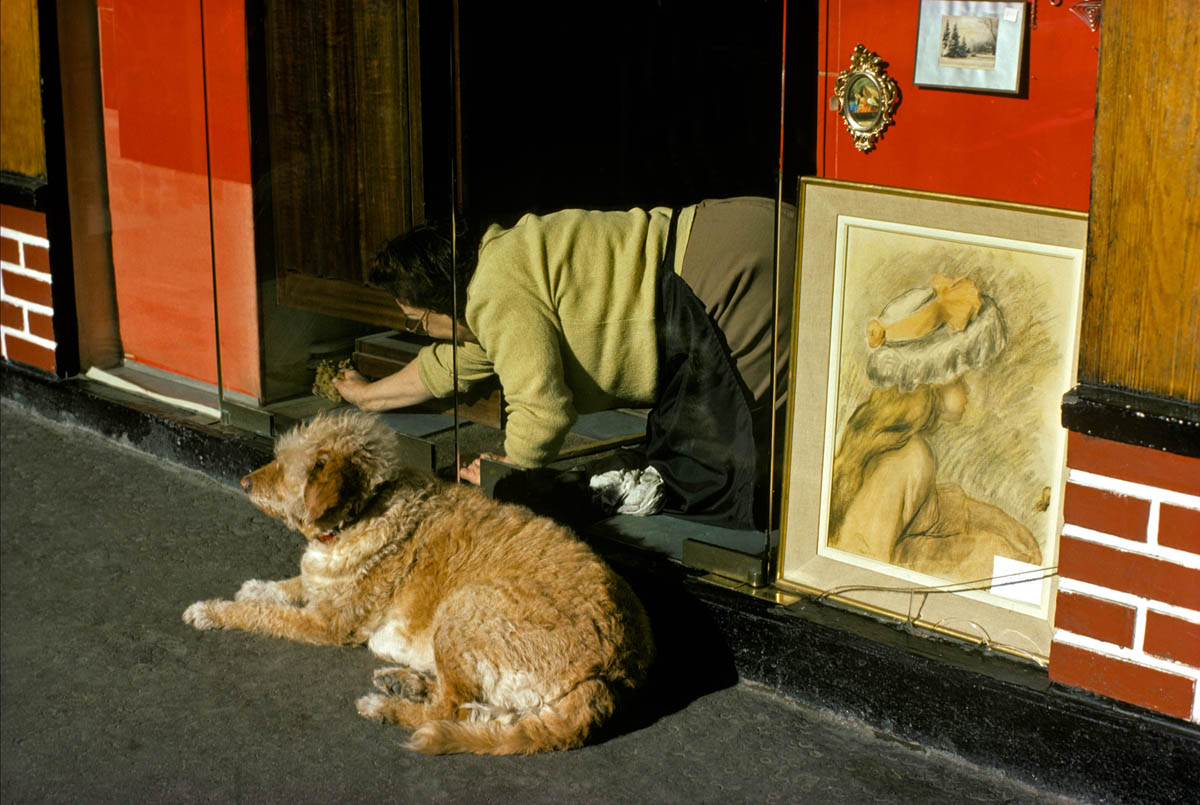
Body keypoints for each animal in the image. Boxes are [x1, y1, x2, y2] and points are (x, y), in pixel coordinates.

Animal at [181, 410, 652, 758]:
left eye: (284, 466)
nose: (244, 482)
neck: (367, 508)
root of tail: (614, 671)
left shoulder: (327, 624)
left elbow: (263, 615)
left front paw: (211, 610)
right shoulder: (322, 588)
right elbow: (291, 584)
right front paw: (259, 586)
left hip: (464, 610)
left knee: (449, 710)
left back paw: (387, 706)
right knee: (472, 709)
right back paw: (404, 684)